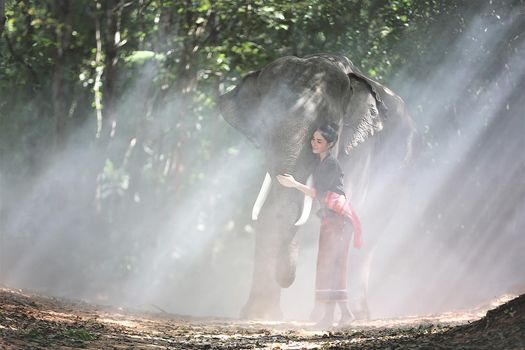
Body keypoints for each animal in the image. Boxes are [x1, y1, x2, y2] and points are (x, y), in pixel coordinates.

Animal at [217, 52, 414, 320]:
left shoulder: (361, 148)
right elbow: (271, 209)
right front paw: (259, 316)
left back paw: (352, 315)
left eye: (327, 126)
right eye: (264, 126)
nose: (286, 279)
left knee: (370, 232)